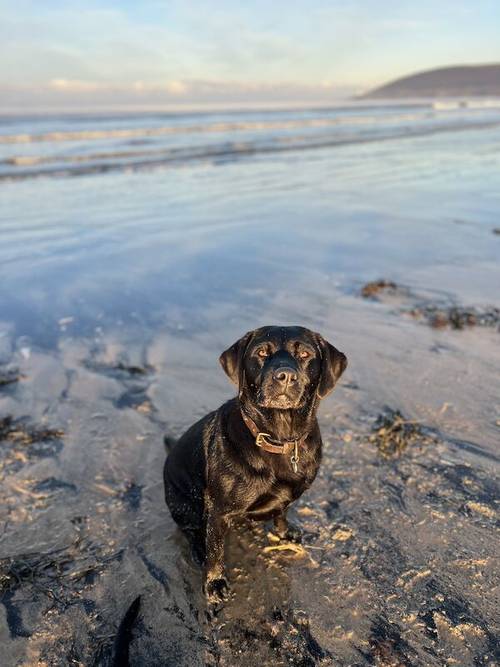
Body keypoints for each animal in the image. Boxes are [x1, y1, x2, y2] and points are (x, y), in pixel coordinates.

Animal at [164, 326, 348, 604]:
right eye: (262, 352)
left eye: (305, 354)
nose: (285, 376)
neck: (279, 439)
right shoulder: (219, 511)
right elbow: (216, 549)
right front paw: (215, 581)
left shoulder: (285, 498)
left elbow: (282, 512)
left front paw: (285, 533)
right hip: (185, 504)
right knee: (191, 531)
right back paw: (199, 551)